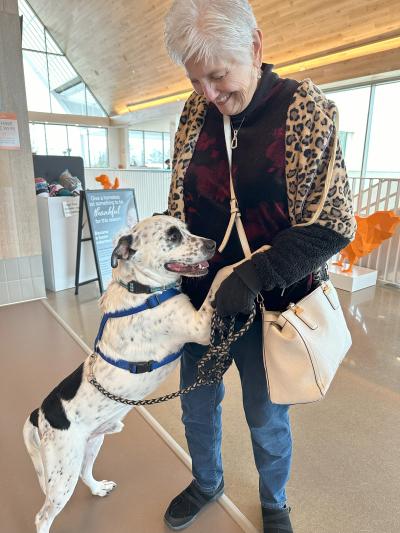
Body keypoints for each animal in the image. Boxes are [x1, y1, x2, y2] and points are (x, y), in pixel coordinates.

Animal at [23, 214, 217, 528]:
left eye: (186, 228)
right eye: (173, 235)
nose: (213, 243)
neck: (141, 290)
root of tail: (38, 413)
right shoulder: (200, 328)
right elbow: (224, 275)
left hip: (91, 445)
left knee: (85, 473)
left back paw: (98, 488)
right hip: (62, 475)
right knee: (43, 517)